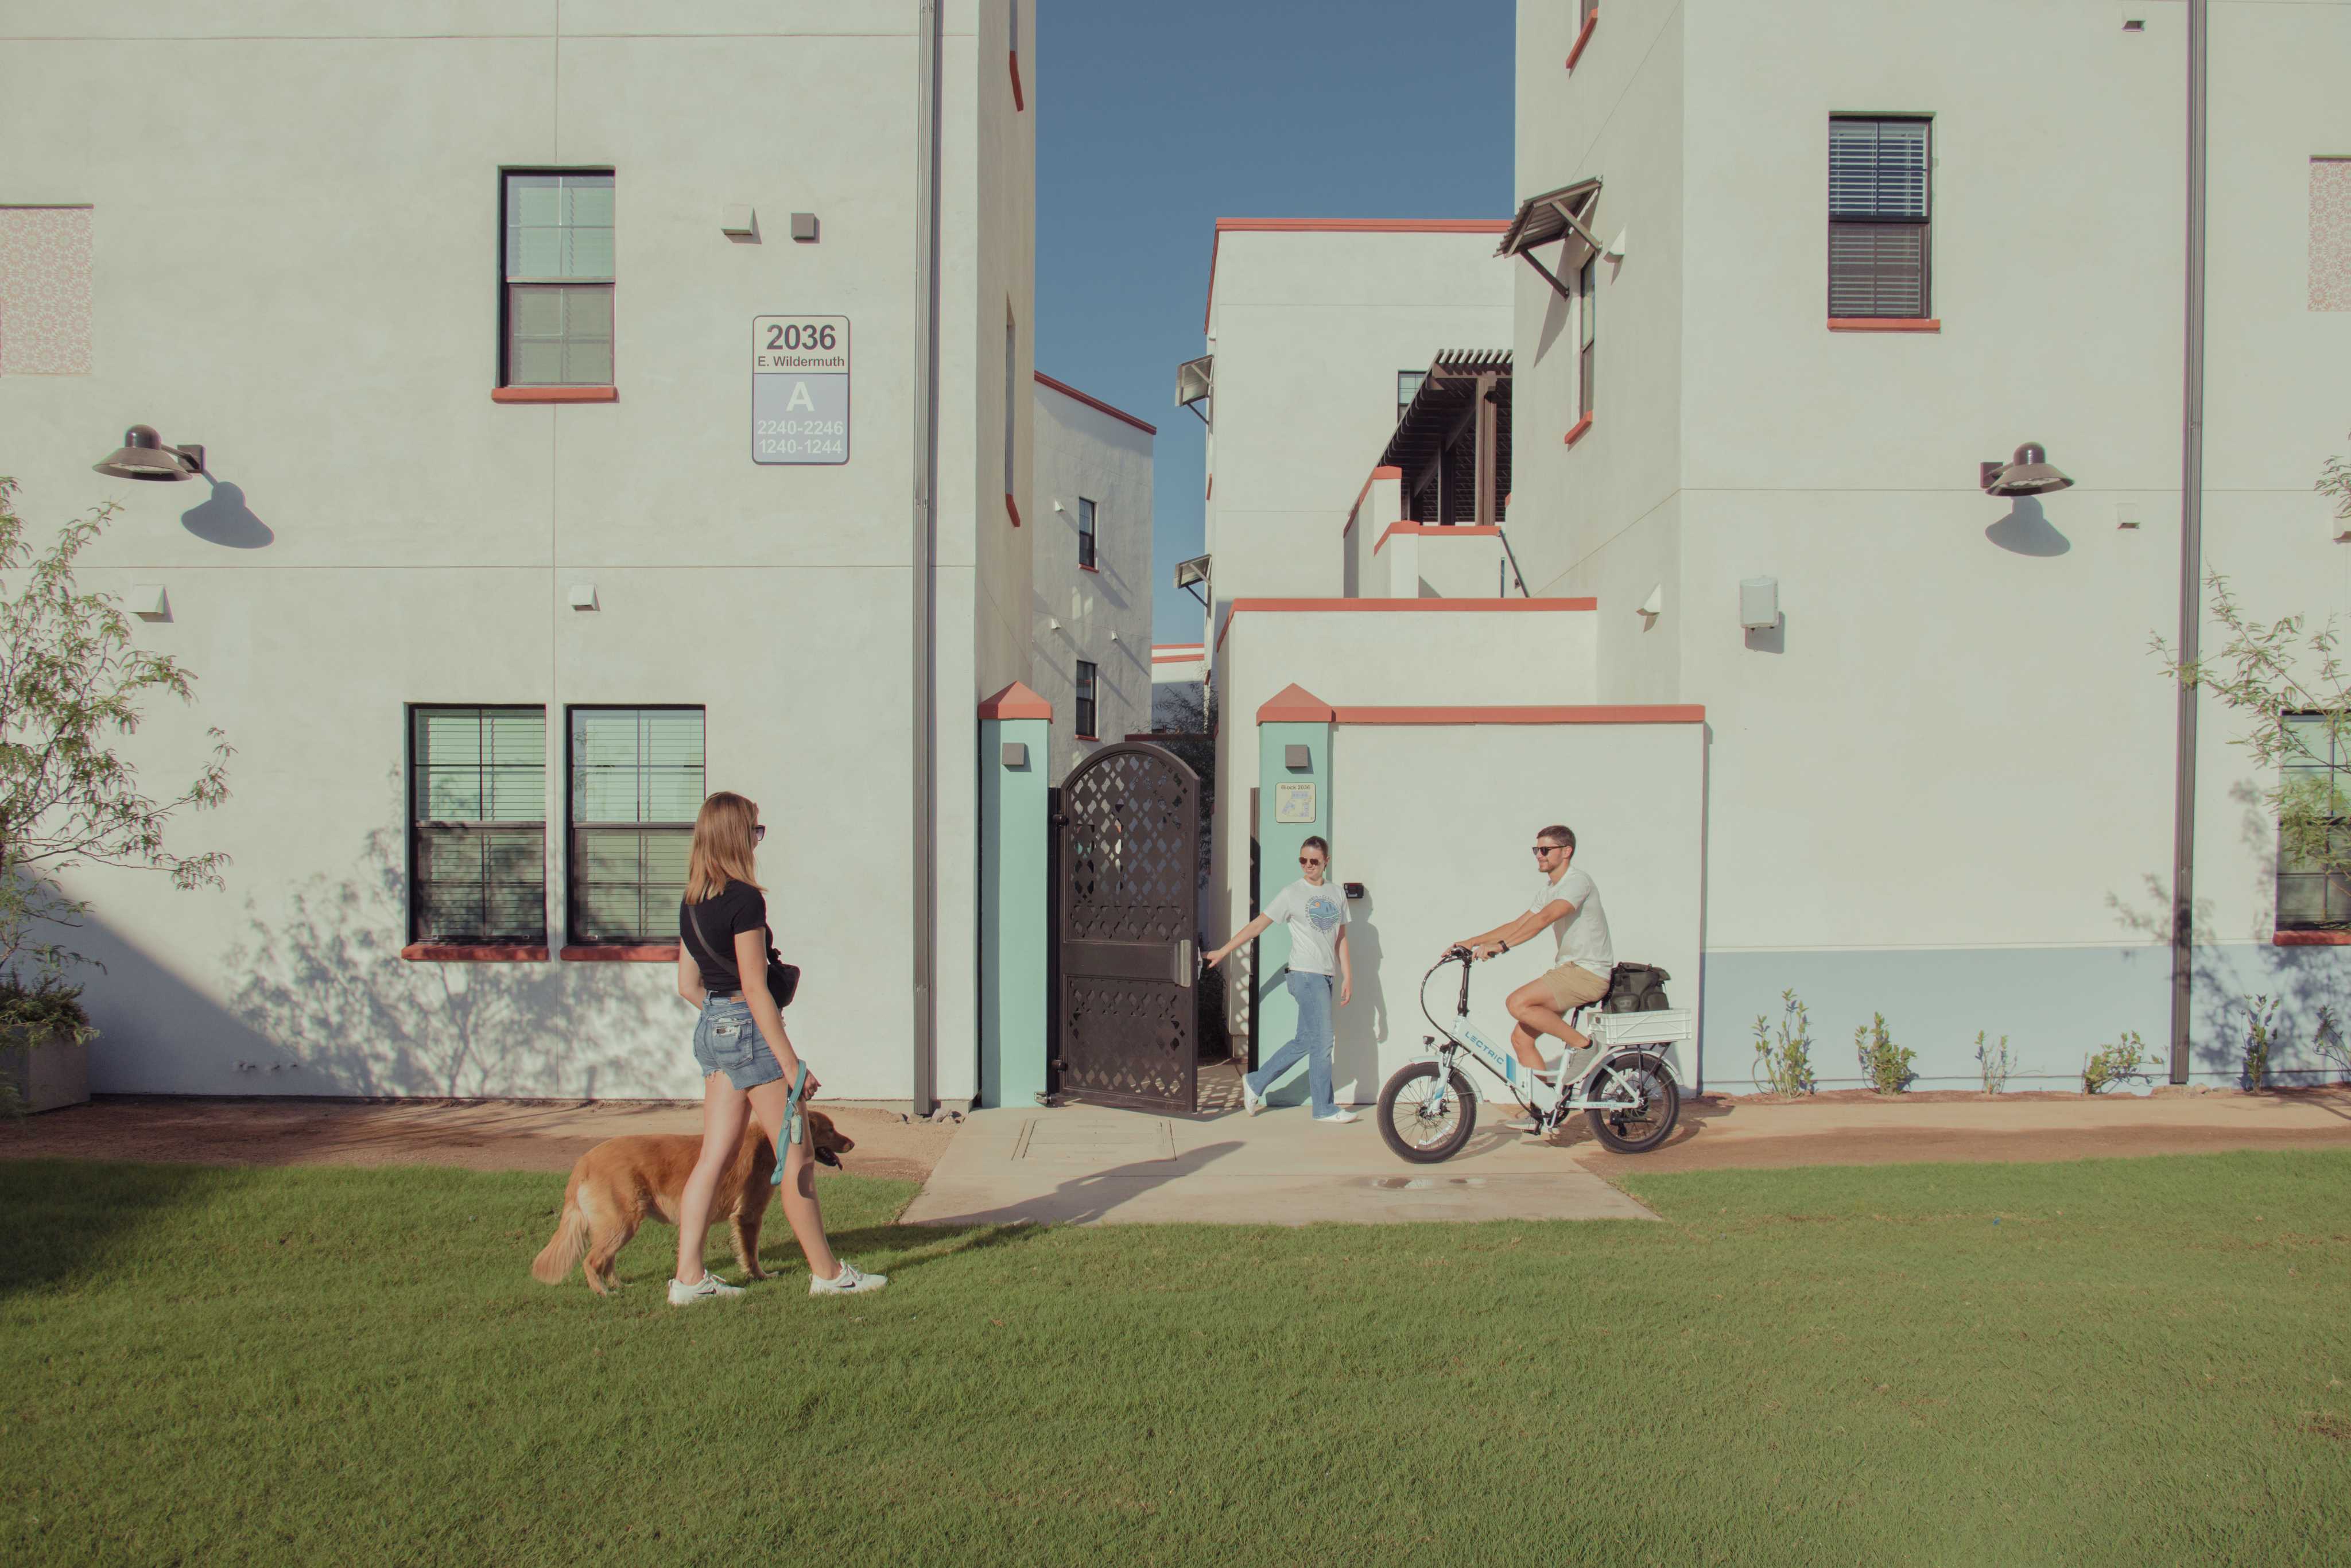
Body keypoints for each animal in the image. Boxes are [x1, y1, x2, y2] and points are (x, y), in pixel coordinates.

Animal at [533, 1109, 855, 1297]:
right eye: (830, 1130)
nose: (852, 1143)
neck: (770, 1141)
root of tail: (584, 1161)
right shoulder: (749, 1213)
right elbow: (751, 1254)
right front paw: (760, 1276)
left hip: (619, 1224)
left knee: (607, 1260)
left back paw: (619, 1286)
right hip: (622, 1222)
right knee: (591, 1261)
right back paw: (603, 1292)